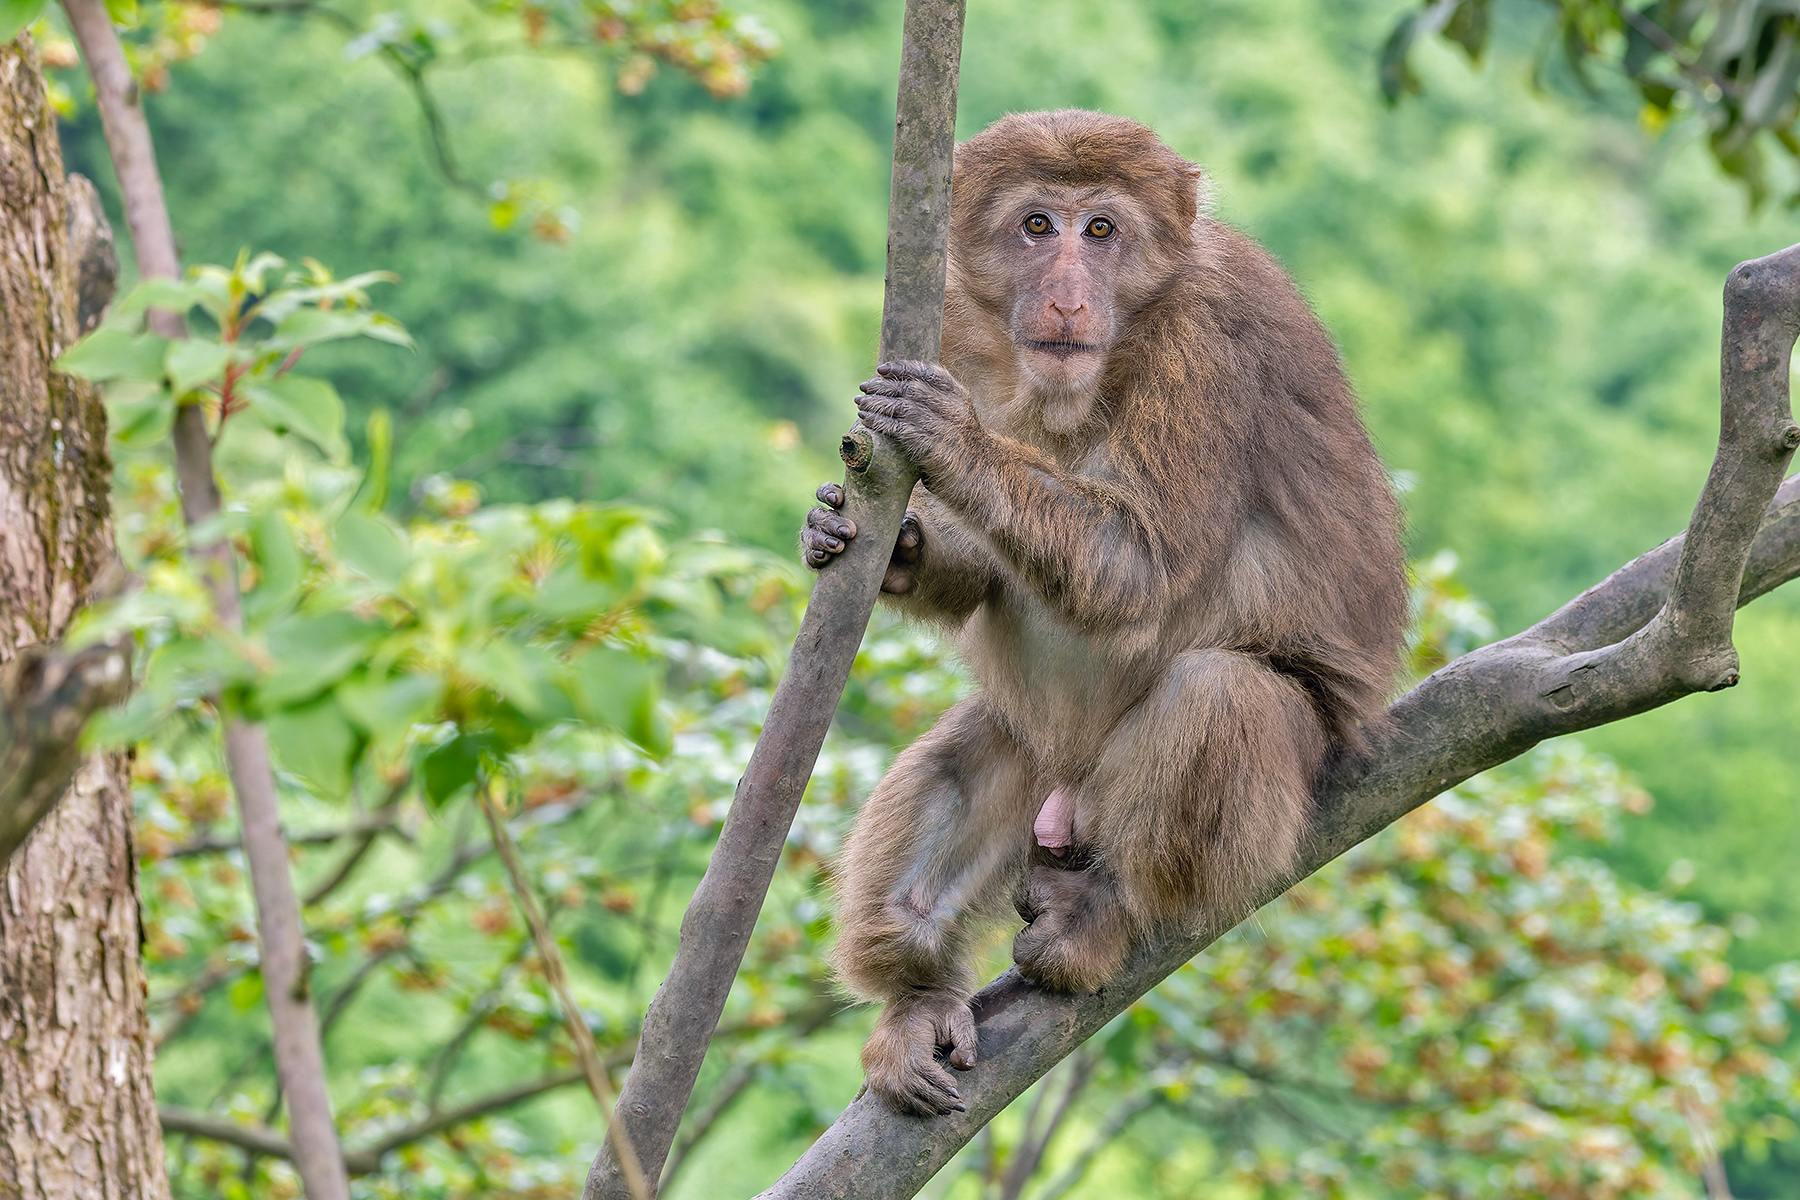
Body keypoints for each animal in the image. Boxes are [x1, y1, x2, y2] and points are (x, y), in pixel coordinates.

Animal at [800, 110, 1408, 1117]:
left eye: (1101, 230)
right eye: (1038, 225)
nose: (1067, 297)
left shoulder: (1207, 347)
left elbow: (1143, 568)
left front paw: (954, 441)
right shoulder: (959, 324)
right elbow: (989, 576)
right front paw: (880, 541)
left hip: (1289, 768)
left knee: (1221, 695)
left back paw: (1110, 916)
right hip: (1040, 761)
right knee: (967, 764)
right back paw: (917, 987)